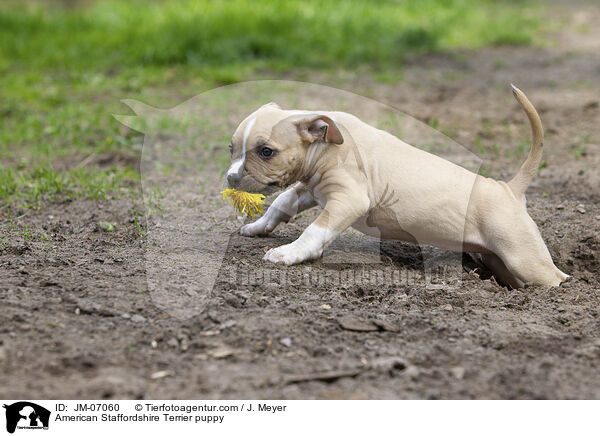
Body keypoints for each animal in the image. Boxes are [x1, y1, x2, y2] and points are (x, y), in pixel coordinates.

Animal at [225, 86, 568, 288]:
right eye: (231, 148)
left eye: (266, 151)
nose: (230, 178)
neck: (327, 145)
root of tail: (509, 189)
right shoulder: (311, 188)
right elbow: (281, 202)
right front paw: (258, 227)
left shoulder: (348, 200)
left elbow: (315, 229)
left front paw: (290, 253)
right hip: (499, 258)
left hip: (525, 259)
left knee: (556, 277)